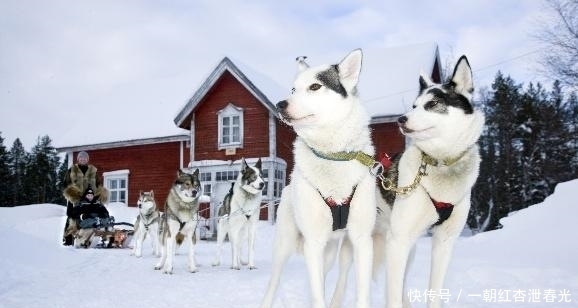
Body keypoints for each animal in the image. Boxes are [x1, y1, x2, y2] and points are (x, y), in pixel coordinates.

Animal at [258, 48, 376, 308]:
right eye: (293, 89)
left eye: (314, 86)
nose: (280, 104)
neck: (333, 157)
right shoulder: (313, 243)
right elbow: (316, 294)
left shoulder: (362, 240)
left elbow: (362, 294)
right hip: (285, 246)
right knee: (273, 283)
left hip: (331, 251)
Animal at [376, 56, 484, 308]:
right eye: (414, 105)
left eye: (432, 104)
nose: (401, 119)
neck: (441, 162)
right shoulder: (398, 241)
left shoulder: (444, 241)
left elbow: (434, 291)